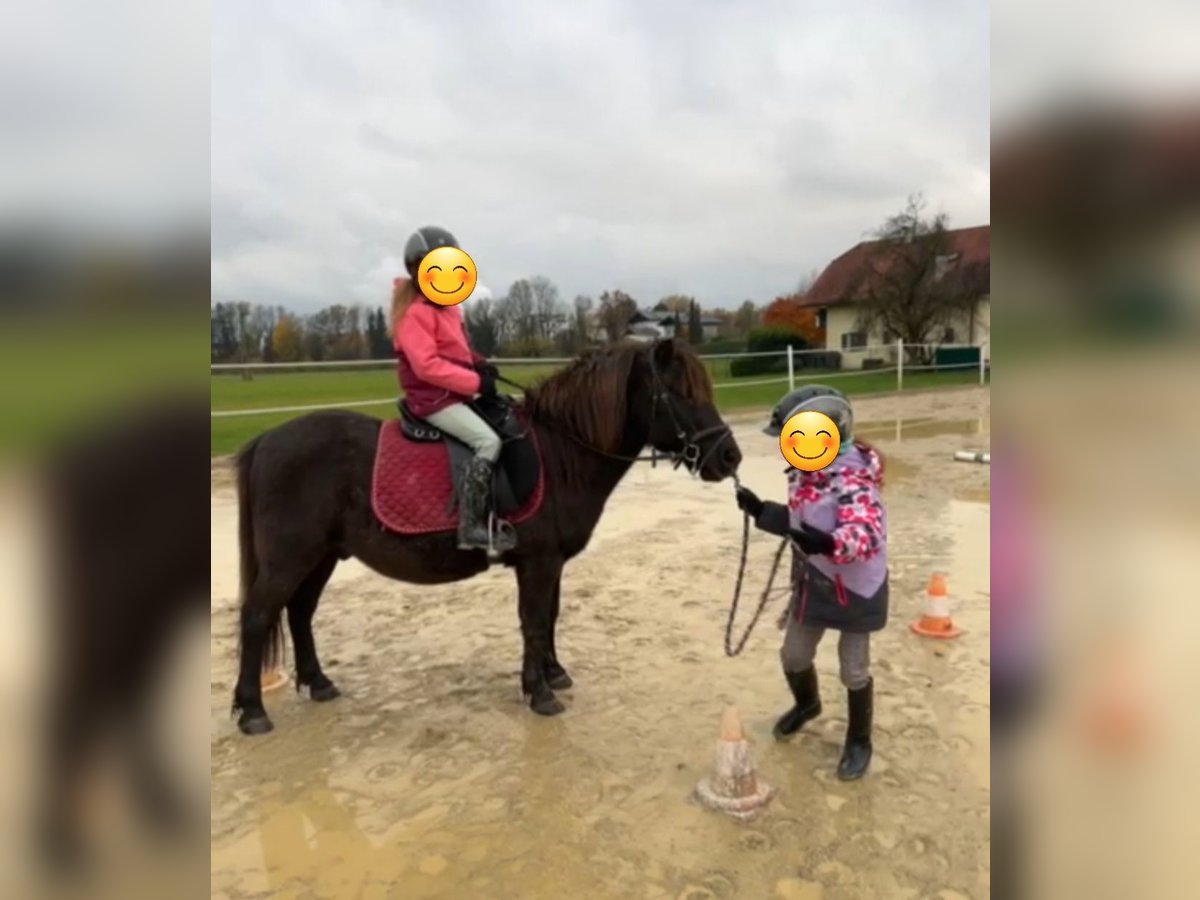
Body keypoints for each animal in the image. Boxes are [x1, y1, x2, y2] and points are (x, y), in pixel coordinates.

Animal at [231, 338, 739, 734]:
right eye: (678, 391)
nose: (729, 457)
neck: (561, 452)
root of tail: (267, 439)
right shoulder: (538, 562)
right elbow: (533, 620)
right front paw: (539, 693)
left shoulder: (551, 563)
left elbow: (549, 617)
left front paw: (553, 674)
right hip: (290, 558)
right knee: (258, 615)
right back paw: (252, 711)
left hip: (321, 556)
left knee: (299, 612)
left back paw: (318, 683)